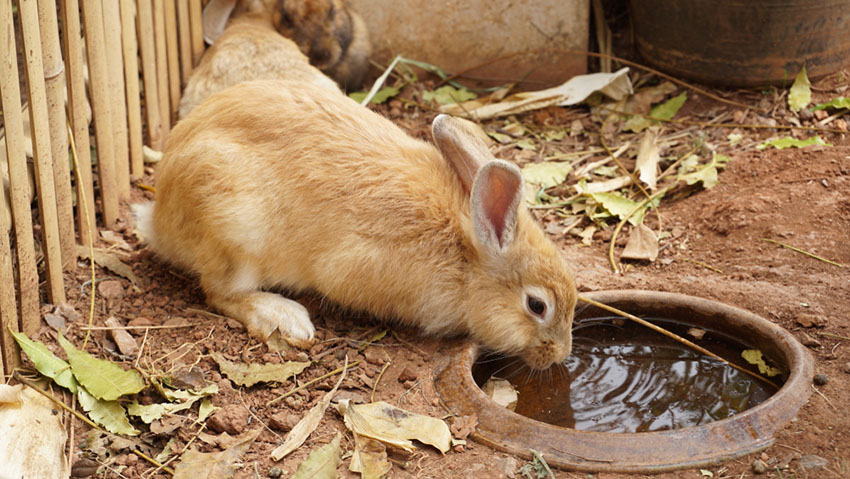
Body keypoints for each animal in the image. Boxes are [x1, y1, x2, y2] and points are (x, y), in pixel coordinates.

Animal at [137, 79, 576, 372]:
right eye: (537, 306)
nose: (561, 353)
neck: (468, 256)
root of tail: (159, 219)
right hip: (234, 228)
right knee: (220, 292)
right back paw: (284, 318)